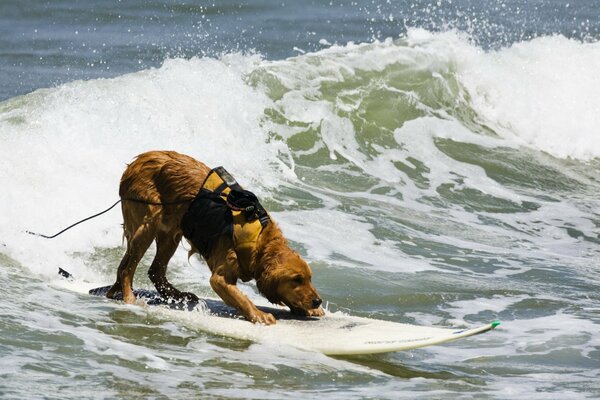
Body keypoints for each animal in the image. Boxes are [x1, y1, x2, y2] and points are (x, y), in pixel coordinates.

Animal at [105, 151, 326, 324]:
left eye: (309, 278)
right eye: (296, 279)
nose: (318, 301)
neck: (260, 241)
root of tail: (137, 161)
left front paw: (310, 309)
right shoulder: (220, 277)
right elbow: (241, 298)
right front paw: (259, 314)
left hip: (171, 232)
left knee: (154, 271)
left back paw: (177, 295)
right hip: (147, 224)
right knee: (126, 268)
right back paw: (129, 298)